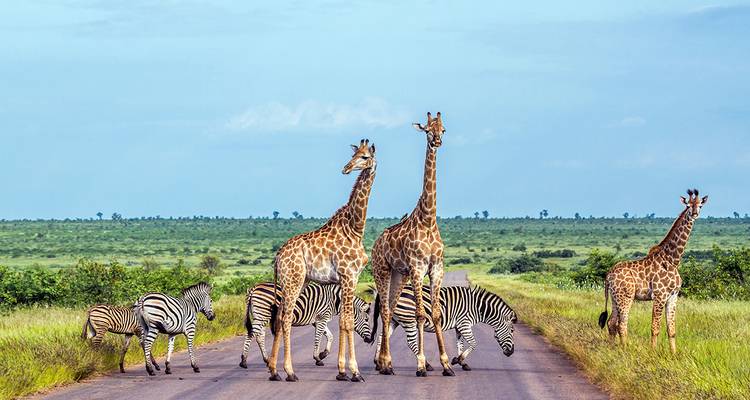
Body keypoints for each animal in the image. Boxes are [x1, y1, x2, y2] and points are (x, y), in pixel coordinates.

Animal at [239, 281, 373, 369]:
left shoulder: (317, 320)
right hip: (263, 314)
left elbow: (330, 336)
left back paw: (266, 359)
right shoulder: (322, 318)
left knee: (259, 335)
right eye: (367, 320)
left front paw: (323, 354)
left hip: (260, 315)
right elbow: (318, 338)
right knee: (251, 334)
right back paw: (244, 361)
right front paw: (318, 358)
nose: (369, 339)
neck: (335, 300)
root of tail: (254, 288)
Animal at [266, 139, 376, 382]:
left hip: (297, 281)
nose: (346, 168)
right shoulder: (349, 276)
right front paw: (354, 372)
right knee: (285, 318)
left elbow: (343, 322)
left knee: (278, 318)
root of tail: (278, 257)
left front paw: (342, 371)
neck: (356, 229)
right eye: (354, 155)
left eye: (364, 157)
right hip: (293, 281)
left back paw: (274, 370)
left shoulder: (348, 279)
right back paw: (290, 372)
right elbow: (347, 322)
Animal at [371, 111, 454, 377]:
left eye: (443, 129)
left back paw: (384, 363)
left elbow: (435, 314)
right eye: (427, 130)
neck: (428, 219)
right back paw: (386, 362)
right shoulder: (418, 268)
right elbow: (419, 314)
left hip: (400, 275)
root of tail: (376, 244)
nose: (437, 141)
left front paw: (446, 364)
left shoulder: (436, 268)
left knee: (389, 308)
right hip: (382, 270)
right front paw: (420, 364)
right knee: (385, 311)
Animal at [373, 285, 517, 371]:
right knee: (411, 343)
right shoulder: (464, 324)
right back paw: (426, 365)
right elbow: (473, 343)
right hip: (408, 319)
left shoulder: (459, 326)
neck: (477, 308)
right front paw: (458, 360)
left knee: (382, 337)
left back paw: (378, 362)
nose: (511, 353)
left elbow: (460, 344)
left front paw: (461, 362)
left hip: (394, 320)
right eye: (512, 331)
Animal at [599, 189, 708, 354]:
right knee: (622, 324)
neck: (673, 260)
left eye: (700, 205)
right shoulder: (659, 296)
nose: (695, 214)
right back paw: (624, 349)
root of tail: (608, 275)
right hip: (626, 296)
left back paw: (612, 348)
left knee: (612, 322)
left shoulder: (673, 296)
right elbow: (655, 328)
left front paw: (673, 354)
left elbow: (671, 329)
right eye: (688, 206)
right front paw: (653, 352)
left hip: (614, 297)